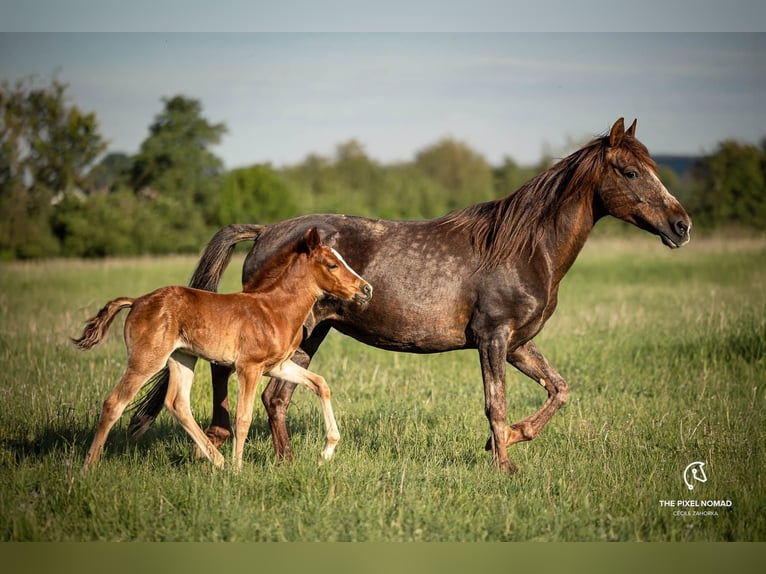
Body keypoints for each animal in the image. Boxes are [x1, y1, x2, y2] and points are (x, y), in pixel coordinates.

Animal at [73, 227, 373, 471]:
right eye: (332, 265)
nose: (366, 289)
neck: (274, 309)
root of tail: (136, 302)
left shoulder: (278, 366)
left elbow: (321, 384)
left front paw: (327, 451)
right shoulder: (248, 367)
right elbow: (243, 417)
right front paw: (239, 470)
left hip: (182, 358)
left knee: (178, 403)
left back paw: (218, 461)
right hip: (146, 360)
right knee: (114, 403)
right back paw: (89, 466)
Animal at [133, 118, 692, 474]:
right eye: (630, 171)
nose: (681, 226)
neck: (524, 248)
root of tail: (268, 229)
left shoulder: (517, 345)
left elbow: (559, 389)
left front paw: (510, 440)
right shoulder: (493, 339)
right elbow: (495, 403)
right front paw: (504, 463)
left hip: (308, 334)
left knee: (276, 397)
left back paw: (285, 462)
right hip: (288, 329)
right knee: (229, 371)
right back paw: (221, 438)